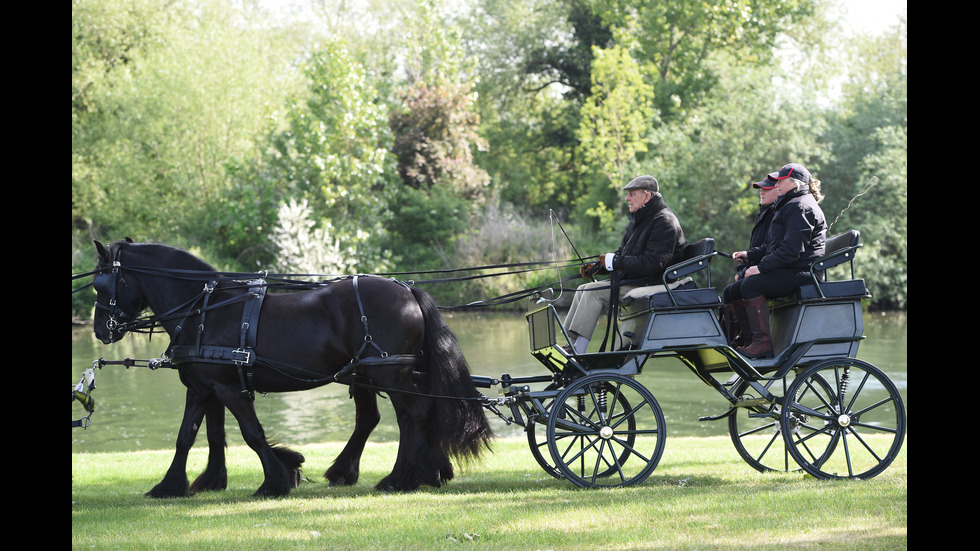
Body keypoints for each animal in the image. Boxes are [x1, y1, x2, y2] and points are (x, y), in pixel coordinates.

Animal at [91, 239, 490, 498]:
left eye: (100, 284)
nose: (100, 331)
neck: (205, 308)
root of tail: (407, 290)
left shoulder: (227, 388)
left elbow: (251, 434)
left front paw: (274, 481)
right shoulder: (203, 387)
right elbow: (190, 436)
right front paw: (173, 485)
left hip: (389, 374)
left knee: (412, 416)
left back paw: (399, 479)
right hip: (376, 373)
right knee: (389, 417)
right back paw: (416, 471)